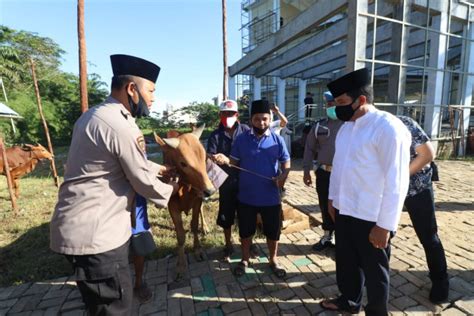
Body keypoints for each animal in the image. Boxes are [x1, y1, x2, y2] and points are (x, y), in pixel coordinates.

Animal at [155, 126, 216, 278]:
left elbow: (194, 225)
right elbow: (181, 235)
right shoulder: (172, 207)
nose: (210, 190)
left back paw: (205, 227)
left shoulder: (197, 200)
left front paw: (198, 250)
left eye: (204, 157)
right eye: (183, 163)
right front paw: (181, 265)